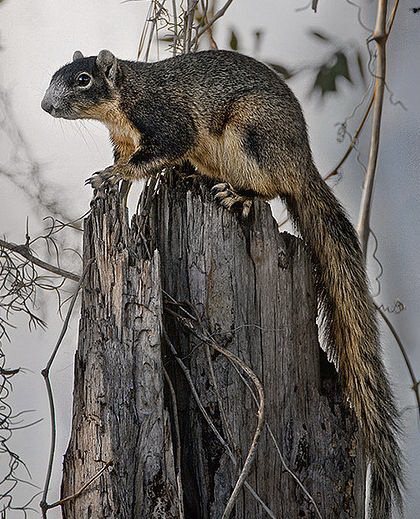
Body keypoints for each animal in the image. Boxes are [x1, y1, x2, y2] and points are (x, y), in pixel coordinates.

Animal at [42, 49, 404, 519]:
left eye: (83, 80)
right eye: (56, 75)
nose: (47, 105)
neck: (124, 102)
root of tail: (301, 163)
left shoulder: (168, 121)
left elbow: (155, 154)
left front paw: (109, 175)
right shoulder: (125, 136)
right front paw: (114, 179)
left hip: (252, 136)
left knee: (270, 187)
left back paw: (239, 195)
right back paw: (194, 179)